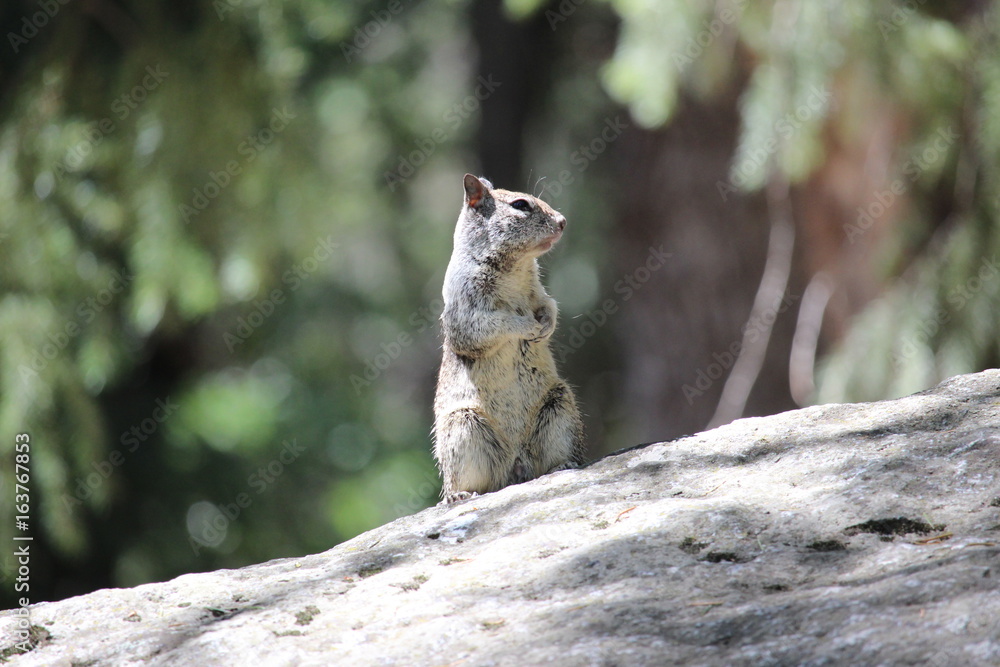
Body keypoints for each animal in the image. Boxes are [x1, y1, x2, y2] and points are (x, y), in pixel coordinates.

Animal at [433, 174, 586, 504]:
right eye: (520, 205)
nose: (563, 222)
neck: (517, 265)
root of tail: (516, 464)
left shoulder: (538, 292)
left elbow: (549, 305)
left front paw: (546, 326)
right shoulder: (467, 313)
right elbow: (497, 324)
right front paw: (527, 327)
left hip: (559, 408)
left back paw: (563, 465)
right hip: (464, 429)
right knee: (474, 482)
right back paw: (458, 495)